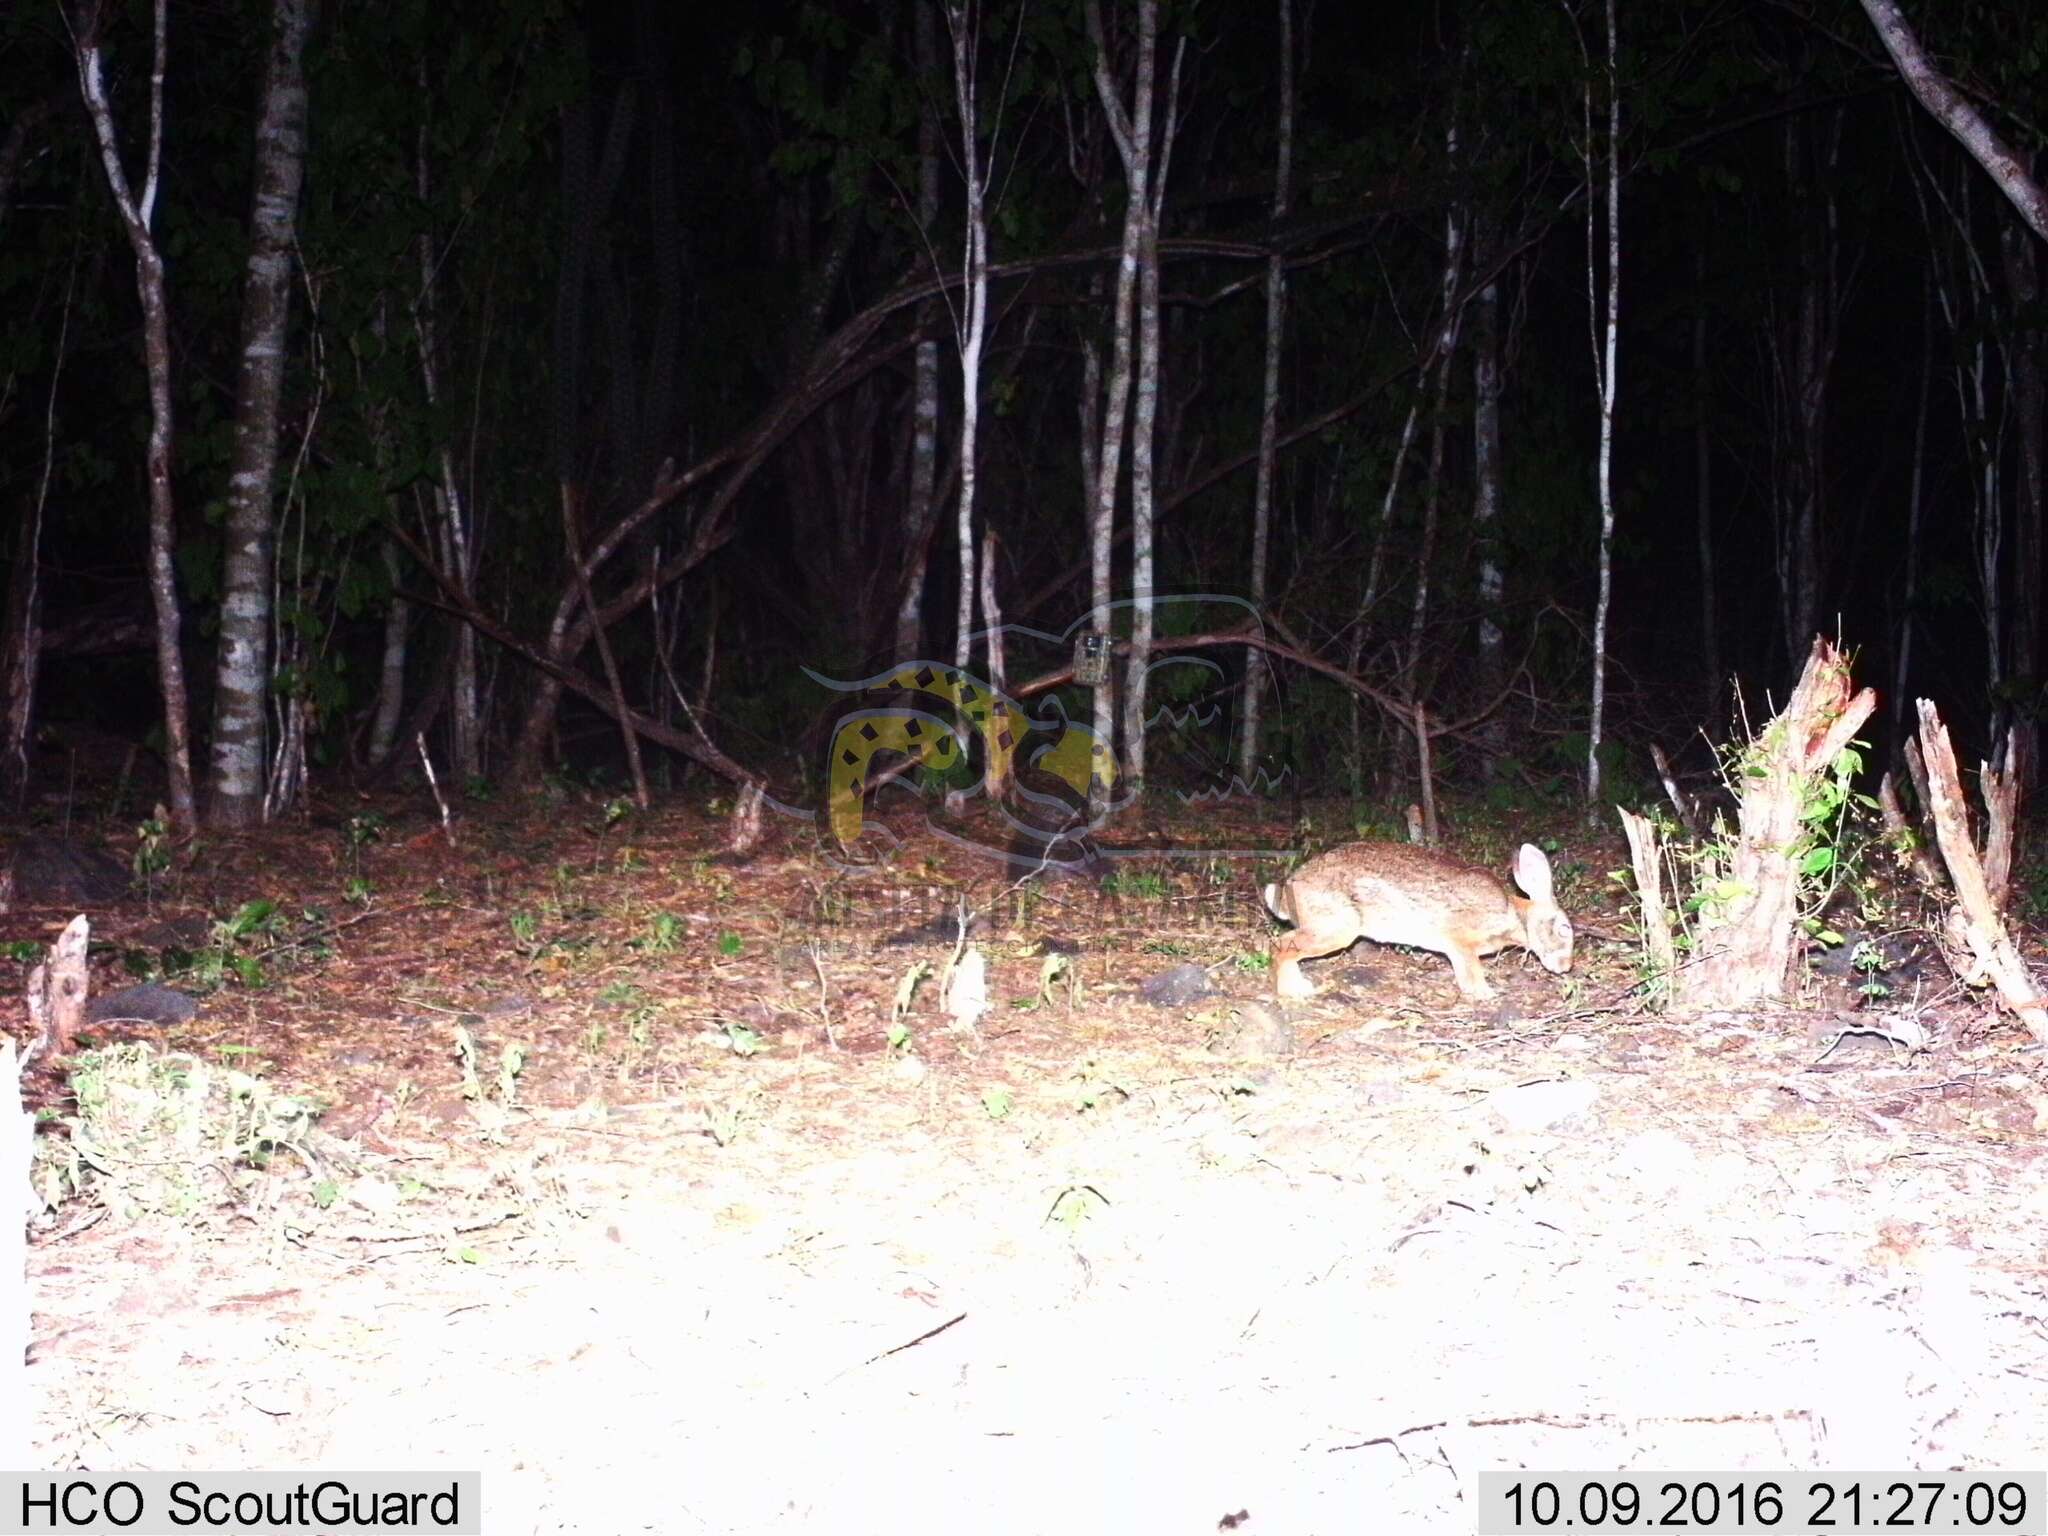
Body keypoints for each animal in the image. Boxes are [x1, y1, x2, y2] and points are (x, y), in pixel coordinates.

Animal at [1261, 847, 1564, 1003]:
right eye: (1563, 928)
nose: (1565, 966)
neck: (1517, 917)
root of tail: (1290, 887)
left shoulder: (1457, 950)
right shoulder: (1462, 942)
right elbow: (1472, 972)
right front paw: (1486, 994)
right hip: (1335, 929)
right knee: (1279, 946)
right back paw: (1293, 990)